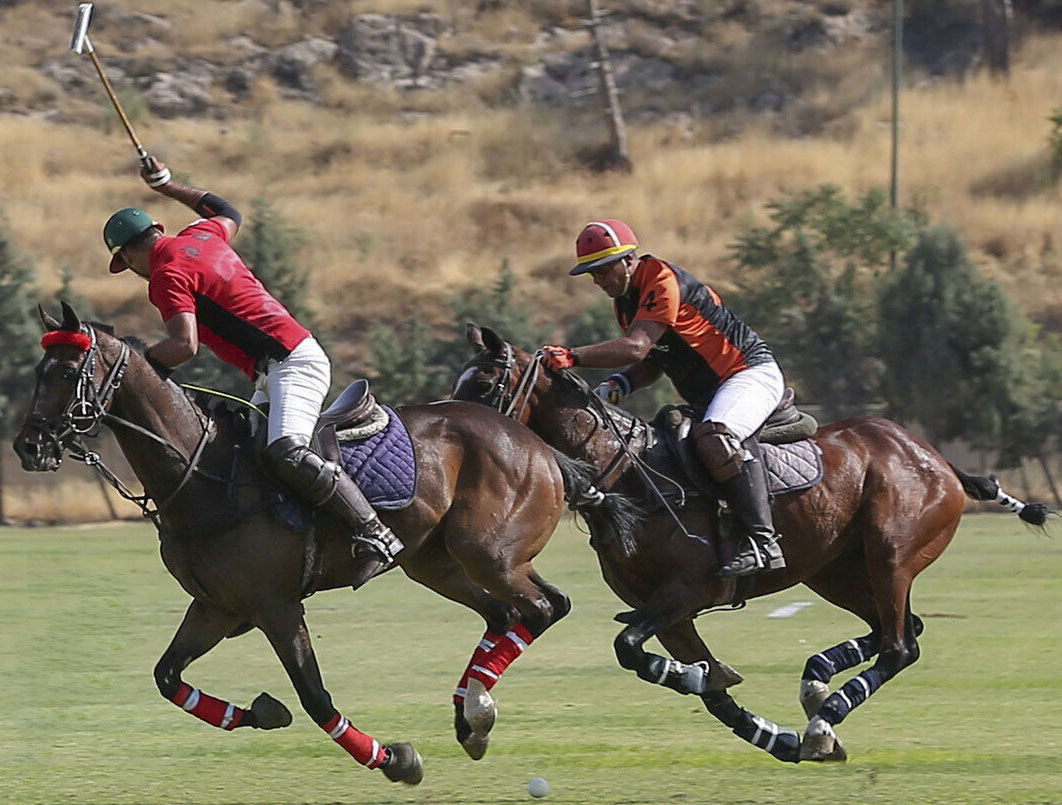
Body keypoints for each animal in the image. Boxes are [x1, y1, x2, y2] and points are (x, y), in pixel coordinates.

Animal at [12, 303, 632, 790]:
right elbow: (167, 677)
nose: (29, 446)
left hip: (491, 553)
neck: (200, 472)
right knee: (509, 613)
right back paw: (470, 716)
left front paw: (394, 759)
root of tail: (543, 447)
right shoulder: (216, 606)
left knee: (544, 606)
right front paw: (262, 713)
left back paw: (475, 711)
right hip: (436, 563)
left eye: (66, 370)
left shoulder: (277, 607)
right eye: (39, 370)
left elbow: (315, 697)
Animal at [452, 324, 1049, 764]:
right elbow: (708, 690)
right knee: (899, 630)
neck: (628, 475)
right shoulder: (668, 613)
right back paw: (815, 688)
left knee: (902, 644)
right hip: (835, 572)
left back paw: (824, 714)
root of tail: (937, 458)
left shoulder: (686, 591)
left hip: (891, 555)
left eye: (482, 386)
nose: (456, 425)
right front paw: (772, 734)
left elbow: (634, 650)